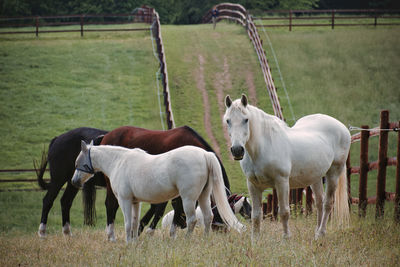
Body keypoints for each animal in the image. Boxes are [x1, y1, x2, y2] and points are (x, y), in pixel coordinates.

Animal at [71, 141, 244, 244]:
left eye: (78, 162)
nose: (74, 182)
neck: (119, 162)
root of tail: (204, 154)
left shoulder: (125, 200)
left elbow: (128, 223)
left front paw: (128, 243)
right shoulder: (135, 202)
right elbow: (135, 223)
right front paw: (133, 243)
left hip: (188, 199)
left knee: (192, 220)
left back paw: (187, 240)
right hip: (203, 196)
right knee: (208, 217)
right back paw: (205, 239)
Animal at [101, 125, 230, 241]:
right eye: (220, 215)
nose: (224, 232)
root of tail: (106, 136)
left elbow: (159, 208)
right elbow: (162, 209)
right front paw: (149, 231)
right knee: (110, 204)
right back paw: (110, 235)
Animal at [223, 94, 352, 241]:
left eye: (246, 120)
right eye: (228, 120)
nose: (237, 150)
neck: (262, 148)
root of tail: (342, 128)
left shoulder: (282, 182)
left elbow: (284, 212)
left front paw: (286, 238)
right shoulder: (253, 185)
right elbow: (256, 215)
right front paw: (255, 241)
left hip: (334, 173)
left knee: (327, 204)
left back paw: (321, 233)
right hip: (316, 177)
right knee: (319, 202)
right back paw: (316, 233)